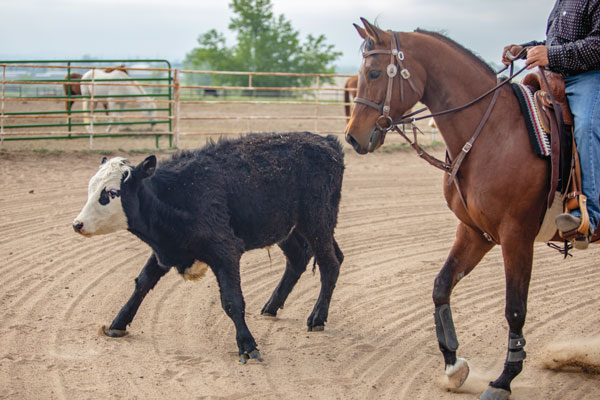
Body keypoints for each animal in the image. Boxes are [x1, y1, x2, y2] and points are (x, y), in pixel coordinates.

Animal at [346, 18, 580, 400]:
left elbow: (515, 309)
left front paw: (504, 379)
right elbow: (441, 285)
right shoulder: (475, 232)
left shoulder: (516, 236)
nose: (352, 137)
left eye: (375, 72)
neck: (494, 133)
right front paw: (453, 364)